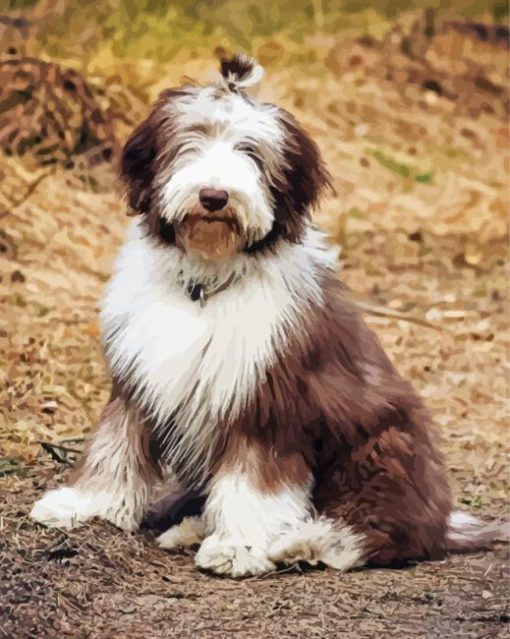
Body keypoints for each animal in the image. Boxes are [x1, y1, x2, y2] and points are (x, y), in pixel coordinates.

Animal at [30, 52, 506, 576]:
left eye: (252, 153)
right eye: (192, 140)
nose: (215, 196)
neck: (206, 283)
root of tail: (443, 520)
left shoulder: (269, 402)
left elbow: (254, 484)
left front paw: (240, 546)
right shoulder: (138, 381)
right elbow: (114, 448)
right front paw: (83, 506)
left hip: (384, 445)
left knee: (378, 528)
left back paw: (305, 542)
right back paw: (192, 527)